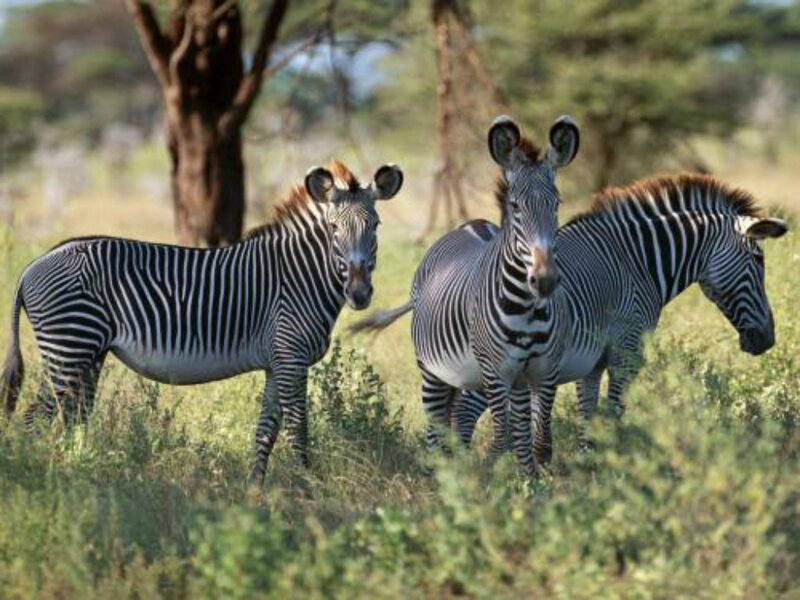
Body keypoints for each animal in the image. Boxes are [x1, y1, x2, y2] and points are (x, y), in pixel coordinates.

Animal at [0, 159, 404, 484]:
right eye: (334, 228)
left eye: (376, 225)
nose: (359, 293)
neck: (299, 276)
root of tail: (34, 263)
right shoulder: (291, 358)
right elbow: (297, 430)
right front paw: (308, 488)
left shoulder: (277, 363)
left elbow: (265, 431)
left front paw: (255, 491)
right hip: (69, 346)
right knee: (35, 418)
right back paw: (40, 477)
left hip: (88, 353)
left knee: (72, 417)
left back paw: (76, 473)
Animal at [351, 115, 580, 477]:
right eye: (515, 206)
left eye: (556, 204)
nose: (544, 281)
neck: (526, 309)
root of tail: (471, 224)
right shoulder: (496, 372)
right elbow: (502, 438)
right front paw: (485, 478)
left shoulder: (544, 370)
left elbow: (538, 441)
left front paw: (533, 485)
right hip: (433, 370)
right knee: (435, 429)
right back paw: (442, 474)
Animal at [451, 174, 788, 463]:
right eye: (758, 259)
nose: (768, 338)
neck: (637, 262)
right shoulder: (627, 351)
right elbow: (613, 413)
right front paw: (616, 471)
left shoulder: (593, 362)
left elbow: (588, 415)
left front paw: (590, 467)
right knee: (466, 413)